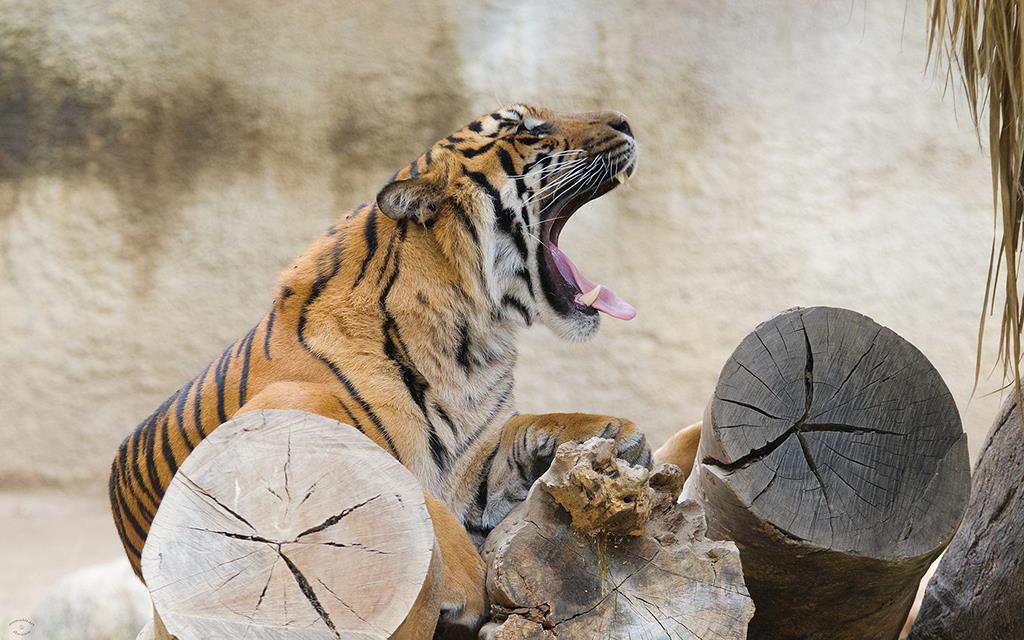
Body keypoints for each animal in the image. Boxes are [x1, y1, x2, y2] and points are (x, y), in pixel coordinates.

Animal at [108, 103, 651, 634]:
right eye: (527, 130)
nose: (625, 121)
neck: (470, 343)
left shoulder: (469, 468)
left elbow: (517, 429)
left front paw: (612, 433)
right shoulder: (275, 406)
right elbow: (389, 466)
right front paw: (462, 573)